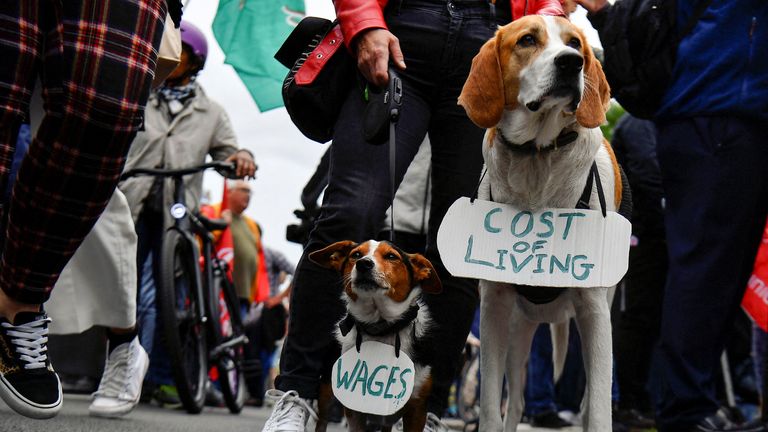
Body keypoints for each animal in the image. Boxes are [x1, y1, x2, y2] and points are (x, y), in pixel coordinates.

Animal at [308, 240, 444, 432]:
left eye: (391, 256)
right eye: (356, 255)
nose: (363, 264)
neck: (381, 328)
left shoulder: (417, 409)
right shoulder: (353, 407)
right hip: (327, 386)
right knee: (322, 419)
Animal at [460, 13, 620, 432]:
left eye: (576, 43)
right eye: (528, 40)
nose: (571, 63)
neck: (538, 156)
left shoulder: (596, 314)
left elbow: (598, 409)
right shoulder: (494, 308)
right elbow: (490, 406)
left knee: (584, 402)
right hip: (520, 332)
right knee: (515, 402)